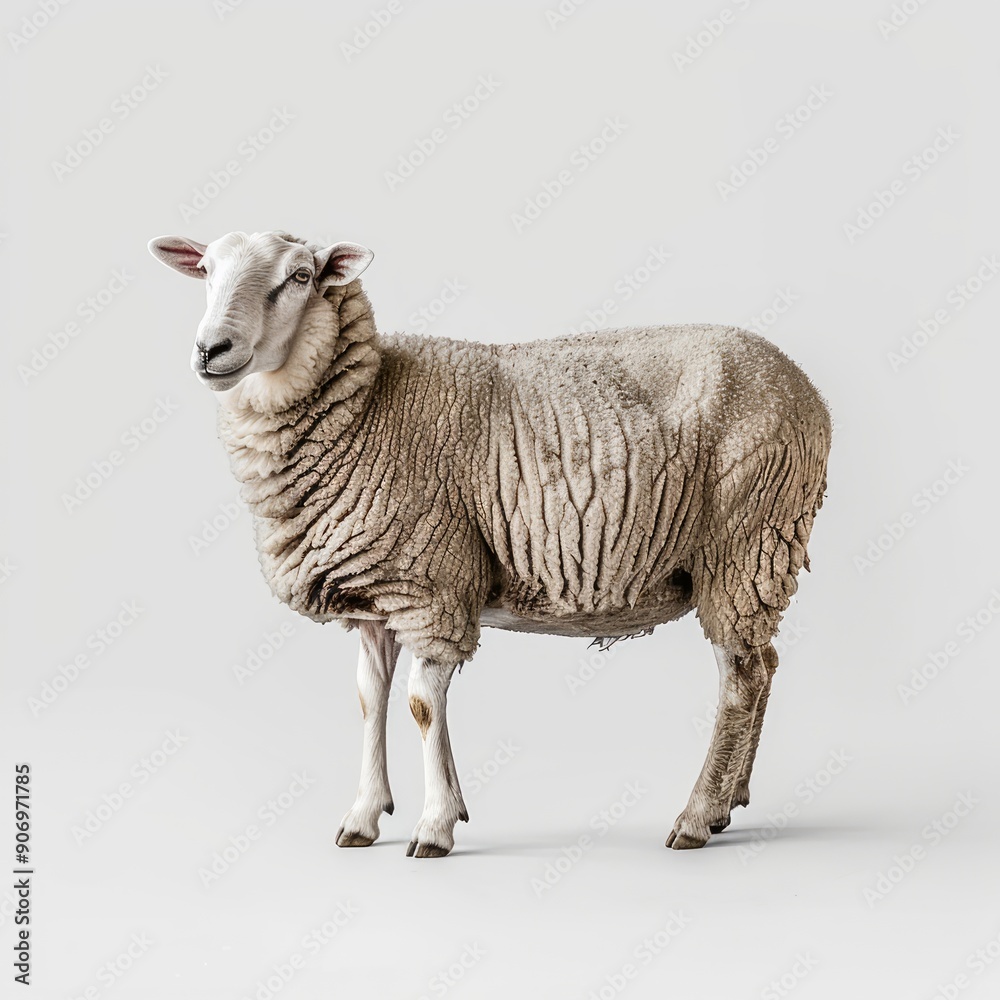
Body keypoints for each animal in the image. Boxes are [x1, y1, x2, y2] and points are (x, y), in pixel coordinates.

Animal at [148, 230, 831, 858]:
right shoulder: (372, 595)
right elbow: (371, 700)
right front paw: (363, 818)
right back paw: (729, 802)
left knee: (742, 677)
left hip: (746, 541)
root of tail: (805, 387)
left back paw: (694, 818)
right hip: (746, 561)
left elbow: (422, 704)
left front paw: (434, 826)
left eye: (299, 276)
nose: (211, 350)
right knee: (759, 665)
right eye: (206, 270)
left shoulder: (431, 580)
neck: (371, 405)